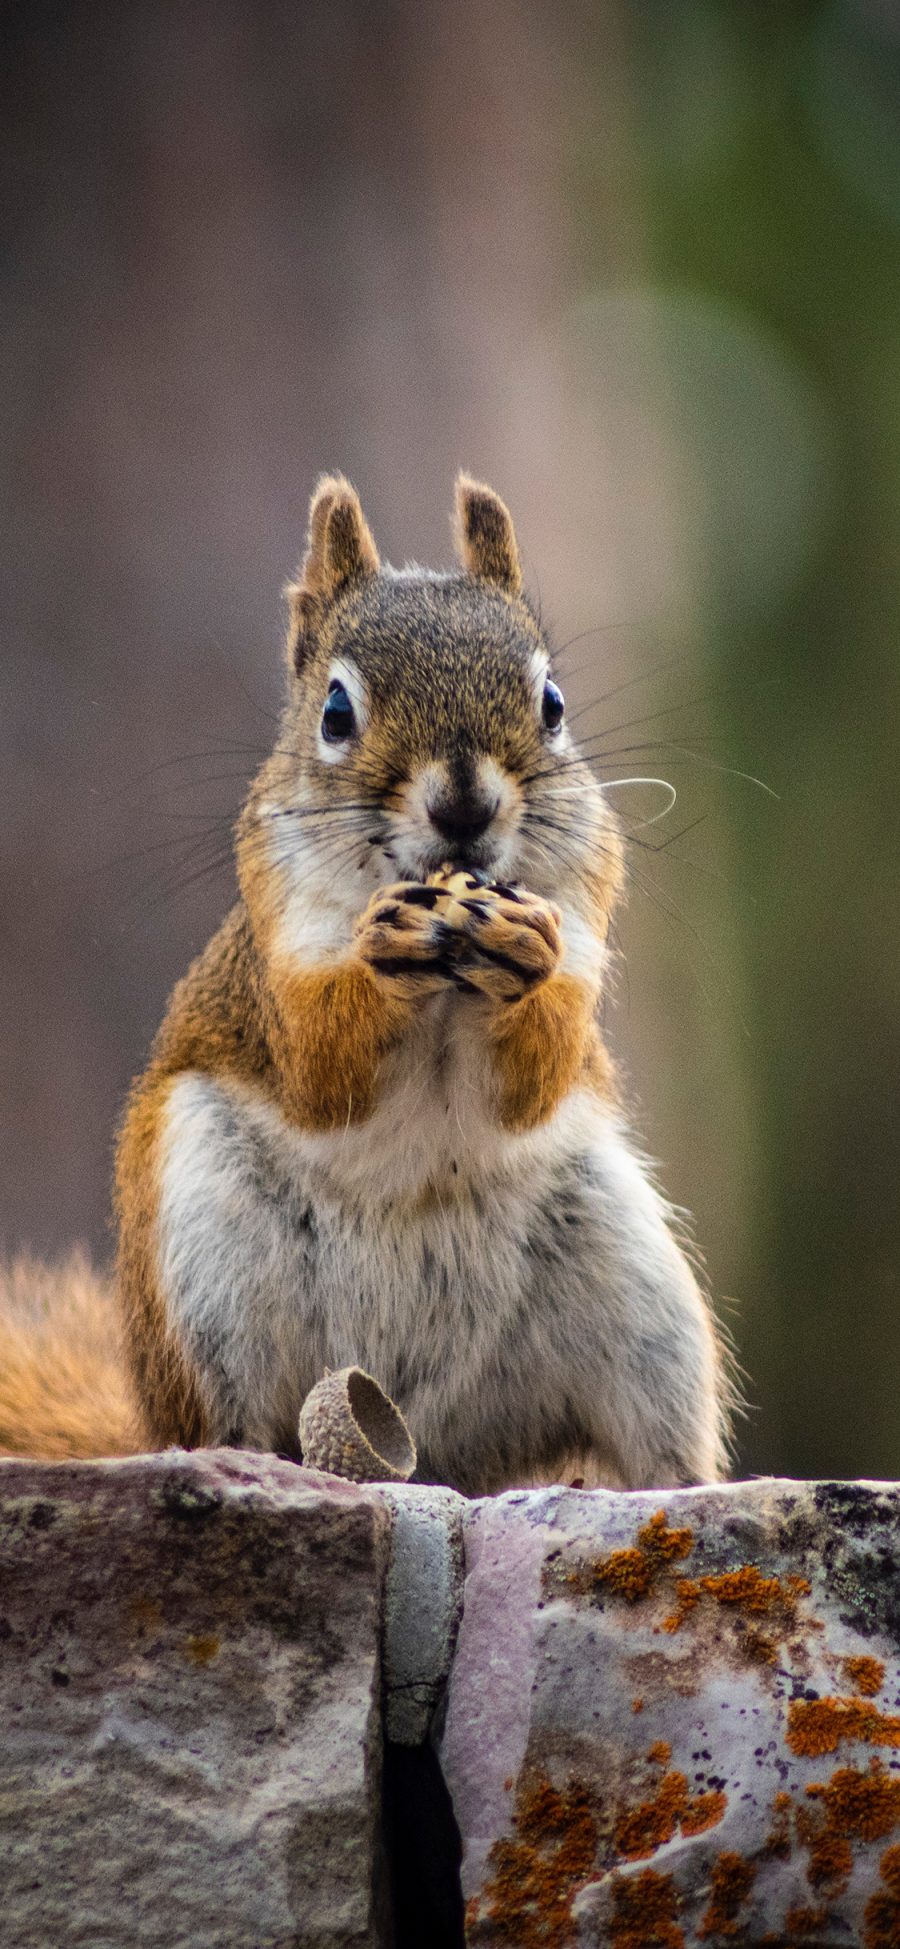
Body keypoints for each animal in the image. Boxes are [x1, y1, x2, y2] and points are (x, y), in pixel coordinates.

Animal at [0, 475, 732, 1489]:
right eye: (336, 714)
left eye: (551, 702)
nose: (465, 803)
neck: (449, 978)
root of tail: (430, 1453)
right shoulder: (277, 961)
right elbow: (320, 1064)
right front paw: (383, 965)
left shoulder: (586, 920)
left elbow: (538, 1073)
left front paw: (524, 956)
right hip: (204, 1258)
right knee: (229, 1413)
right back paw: (241, 1463)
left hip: (640, 1294)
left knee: (655, 1438)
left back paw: (674, 1488)